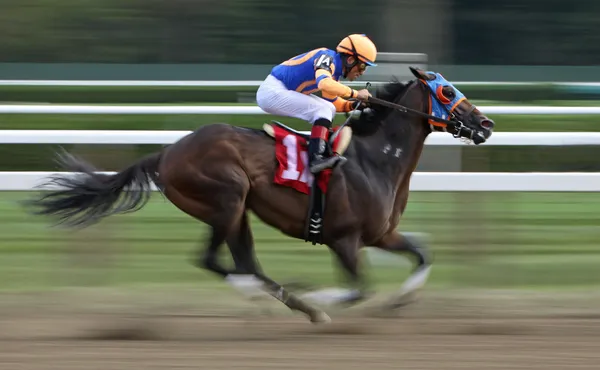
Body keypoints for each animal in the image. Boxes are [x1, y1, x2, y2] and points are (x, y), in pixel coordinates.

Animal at [24, 67, 492, 324]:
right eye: (447, 92)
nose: (486, 124)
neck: (375, 159)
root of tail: (167, 152)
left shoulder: (380, 235)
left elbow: (422, 254)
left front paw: (400, 301)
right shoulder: (344, 239)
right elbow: (358, 290)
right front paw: (322, 297)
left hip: (239, 212)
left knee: (243, 262)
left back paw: (286, 298)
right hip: (227, 198)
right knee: (215, 260)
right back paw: (292, 301)